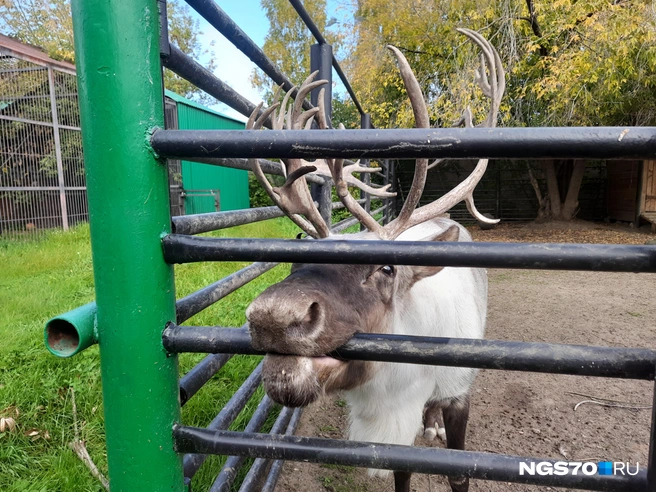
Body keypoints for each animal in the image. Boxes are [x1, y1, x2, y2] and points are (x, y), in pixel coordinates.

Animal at [244, 28, 504, 492]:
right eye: (294, 260)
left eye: (386, 267)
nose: (272, 316)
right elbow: (402, 475)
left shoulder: (459, 394)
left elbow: (458, 475)